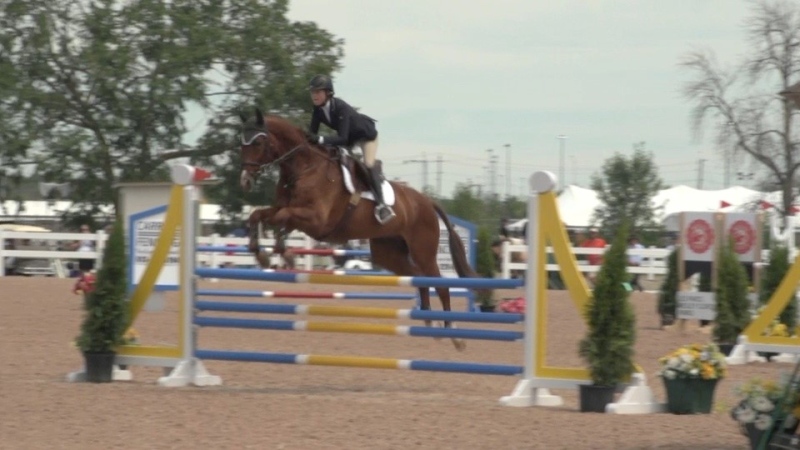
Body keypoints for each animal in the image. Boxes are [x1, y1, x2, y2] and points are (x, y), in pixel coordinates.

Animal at [241, 109, 478, 352]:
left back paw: (453, 333)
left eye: (258, 142)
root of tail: (427, 201)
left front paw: (284, 254)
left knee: (439, 284)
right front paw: (261, 254)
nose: (245, 180)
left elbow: (282, 218)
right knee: (419, 277)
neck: (304, 168)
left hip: (423, 251)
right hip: (388, 254)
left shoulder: (316, 219)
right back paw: (429, 320)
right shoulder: (290, 211)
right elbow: (259, 215)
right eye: (241, 142)